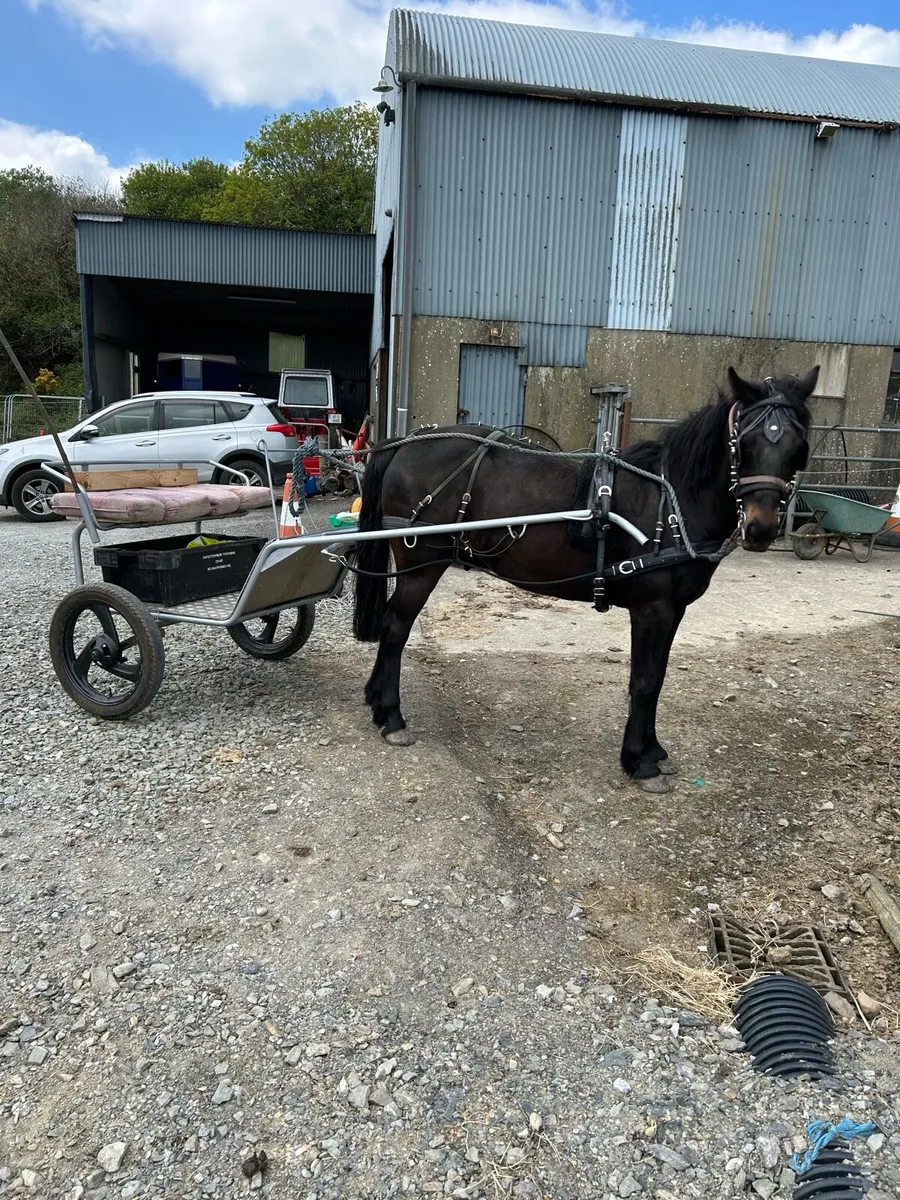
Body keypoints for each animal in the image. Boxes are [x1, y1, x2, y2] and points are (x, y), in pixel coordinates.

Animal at [352, 366, 816, 789]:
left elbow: (659, 677)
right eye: (745, 441)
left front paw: (654, 750)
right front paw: (638, 761)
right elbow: (644, 681)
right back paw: (392, 716)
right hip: (421, 567)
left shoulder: (675, 610)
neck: (672, 499)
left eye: (799, 445)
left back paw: (376, 699)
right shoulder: (652, 608)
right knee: (395, 628)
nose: (761, 528)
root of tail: (405, 443)